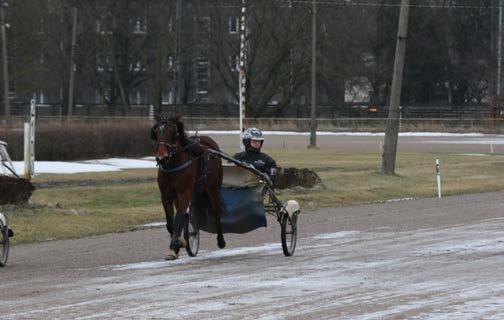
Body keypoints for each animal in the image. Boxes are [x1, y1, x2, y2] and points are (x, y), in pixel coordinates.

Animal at [152, 114, 224, 258]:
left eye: (173, 132)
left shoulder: (185, 193)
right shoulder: (166, 196)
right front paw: (178, 245)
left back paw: (220, 240)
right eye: (156, 132)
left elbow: (178, 219)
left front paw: (175, 245)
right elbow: (171, 223)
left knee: (216, 211)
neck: (172, 166)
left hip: (213, 188)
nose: (161, 157)